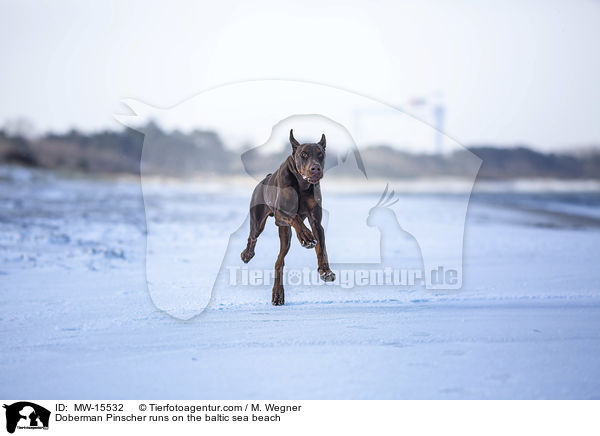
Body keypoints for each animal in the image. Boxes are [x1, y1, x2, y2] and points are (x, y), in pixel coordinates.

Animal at [240, 131, 336, 304]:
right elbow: (295, 218)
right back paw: (247, 255)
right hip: (258, 220)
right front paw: (306, 237)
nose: (315, 168)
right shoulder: (280, 214)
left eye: (320, 154)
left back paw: (278, 293)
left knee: (280, 261)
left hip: (285, 235)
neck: (302, 184)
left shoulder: (316, 221)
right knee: (253, 237)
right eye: (303, 154)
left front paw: (325, 271)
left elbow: (321, 247)